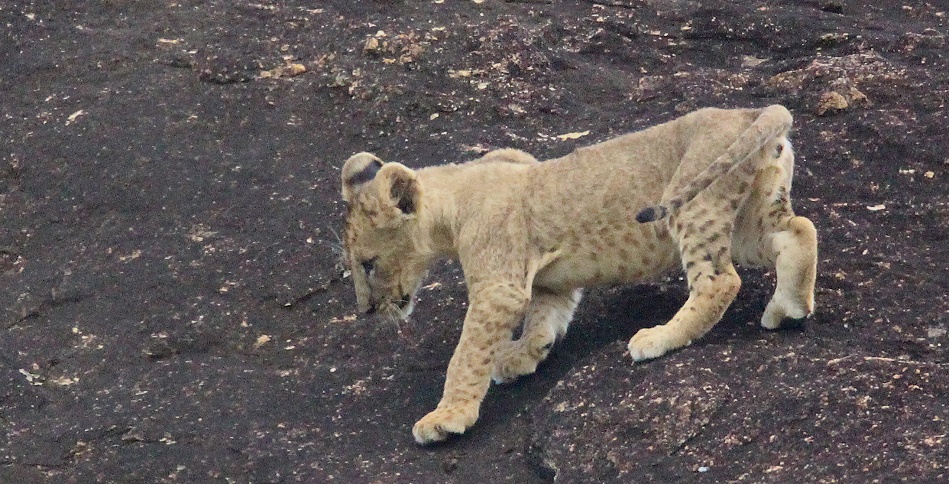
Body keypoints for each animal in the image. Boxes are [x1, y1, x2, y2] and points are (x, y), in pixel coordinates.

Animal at [339, 105, 818, 444]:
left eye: (368, 263)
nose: (365, 311)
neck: (453, 203)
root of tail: (747, 113)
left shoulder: (499, 288)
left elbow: (467, 354)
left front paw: (446, 417)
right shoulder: (546, 274)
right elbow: (544, 316)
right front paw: (521, 355)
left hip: (695, 201)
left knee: (720, 280)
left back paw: (660, 337)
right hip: (749, 217)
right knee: (799, 231)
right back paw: (789, 308)